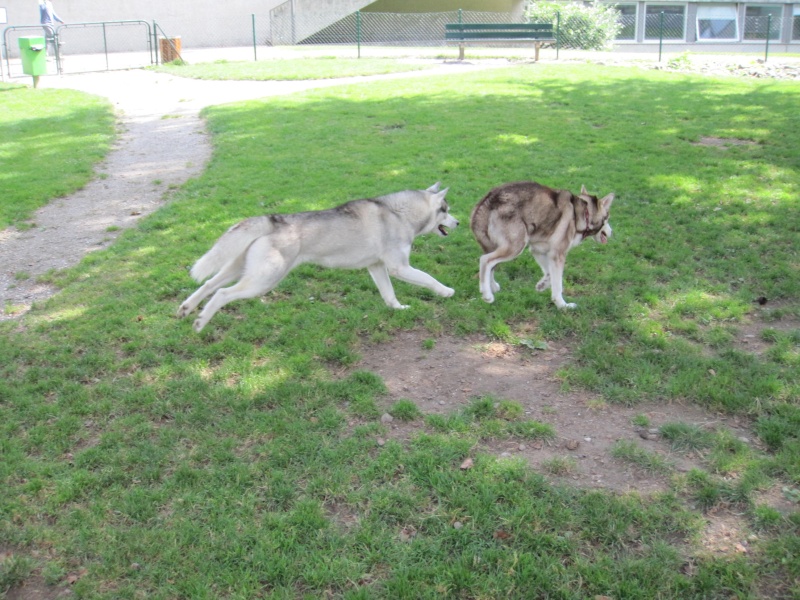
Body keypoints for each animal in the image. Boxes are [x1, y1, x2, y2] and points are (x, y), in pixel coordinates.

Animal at [179, 184, 460, 332]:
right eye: (446, 210)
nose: (458, 223)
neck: (399, 213)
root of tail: (273, 220)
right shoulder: (398, 267)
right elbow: (429, 279)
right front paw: (446, 291)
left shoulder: (377, 267)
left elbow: (389, 294)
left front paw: (398, 309)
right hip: (263, 281)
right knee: (222, 294)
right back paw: (201, 321)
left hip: (240, 269)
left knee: (209, 284)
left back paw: (187, 308)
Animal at [468, 180, 612, 310]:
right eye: (607, 218)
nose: (611, 232)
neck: (582, 214)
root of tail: (488, 200)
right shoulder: (558, 255)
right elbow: (558, 285)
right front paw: (562, 305)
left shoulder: (538, 250)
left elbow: (549, 274)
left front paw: (542, 285)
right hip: (515, 247)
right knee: (485, 261)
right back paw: (487, 294)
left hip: (496, 246)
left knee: (491, 266)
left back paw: (492, 287)